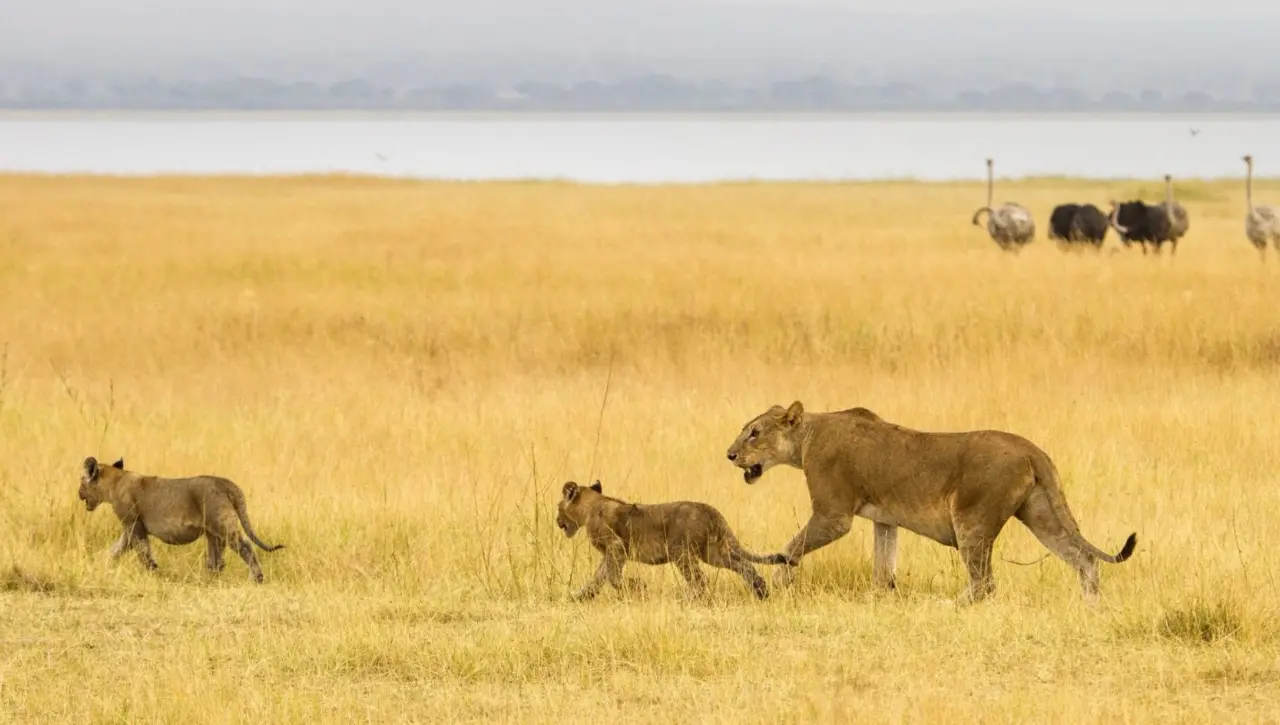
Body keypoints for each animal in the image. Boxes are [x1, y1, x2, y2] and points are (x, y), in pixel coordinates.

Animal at [78, 456, 285, 583]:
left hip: (222, 524)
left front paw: (153, 572)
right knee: (217, 560)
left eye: (81, 480)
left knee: (245, 547)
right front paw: (102, 565)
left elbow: (143, 551)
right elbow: (116, 549)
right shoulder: (131, 528)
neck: (115, 481)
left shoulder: (133, 524)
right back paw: (209, 580)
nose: (78, 493)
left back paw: (256, 578)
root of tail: (227, 483)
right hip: (212, 532)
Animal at [556, 479, 786, 601]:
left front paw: (636, 587)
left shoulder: (616, 547)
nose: (557, 521)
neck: (590, 508)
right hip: (712, 552)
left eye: (559, 507)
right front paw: (580, 597)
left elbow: (611, 576)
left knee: (701, 579)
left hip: (681, 552)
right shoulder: (611, 553)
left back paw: (689, 600)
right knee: (744, 565)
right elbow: (599, 576)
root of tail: (708, 508)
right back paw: (762, 592)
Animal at [725, 402, 1137, 603]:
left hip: (971, 520)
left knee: (984, 583)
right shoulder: (885, 518)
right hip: (1040, 514)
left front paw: (777, 581)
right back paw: (1090, 607)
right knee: (1084, 559)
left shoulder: (833, 515)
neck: (806, 436)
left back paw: (947, 606)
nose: (729, 455)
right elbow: (883, 567)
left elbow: (791, 547)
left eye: (754, 433)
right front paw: (883, 600)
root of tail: (1032, 449)